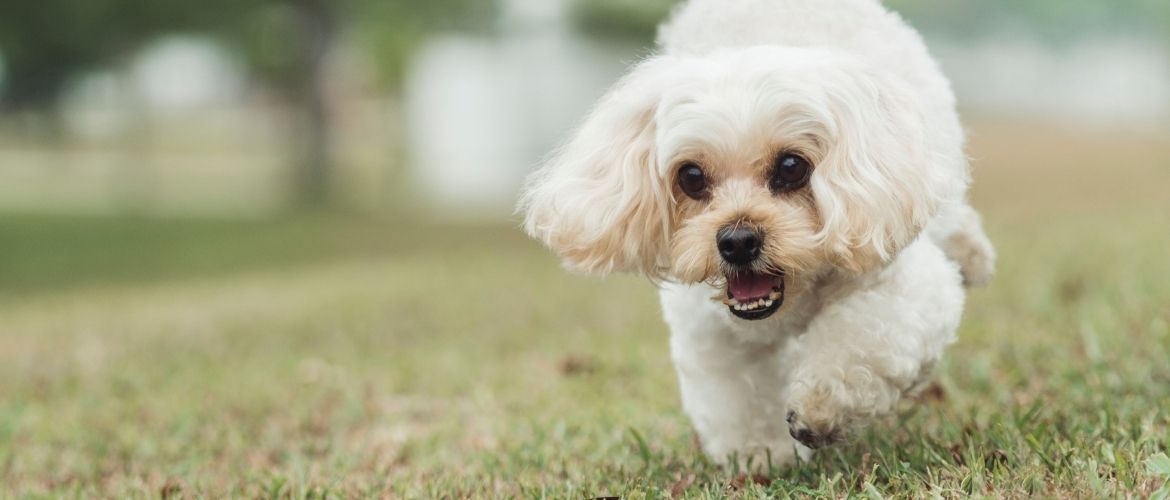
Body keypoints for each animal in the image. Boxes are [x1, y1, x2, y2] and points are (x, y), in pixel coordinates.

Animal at [517, 0, 992, 470]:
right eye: (690, 176)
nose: (737, 241)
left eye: (791, 166)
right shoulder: (711, 334)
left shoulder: (902, 283)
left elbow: (865, 341)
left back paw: (972, 255)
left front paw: (821, 409)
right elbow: (739, 398)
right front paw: (762, 456)